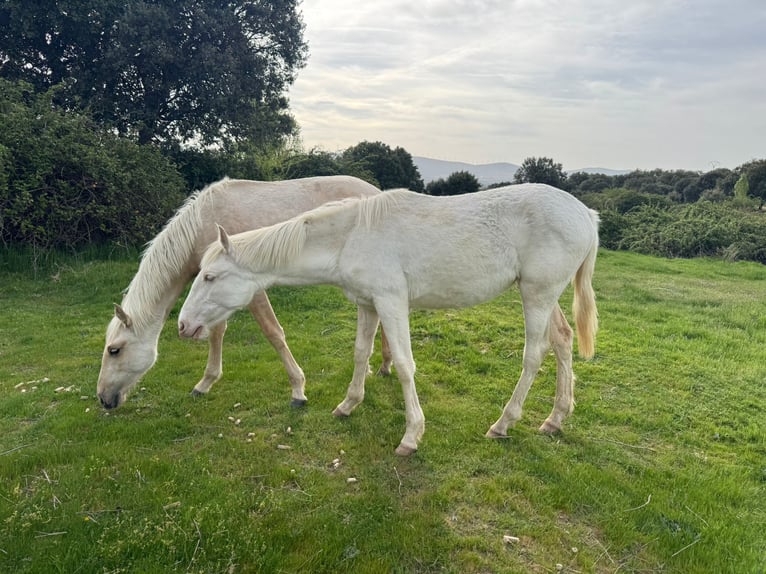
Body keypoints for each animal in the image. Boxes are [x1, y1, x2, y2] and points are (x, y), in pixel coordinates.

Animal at [97, 175, 392, 410]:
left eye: (114, 350)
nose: (102, 398)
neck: (203, 223)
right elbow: (217, 333)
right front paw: (205, 383)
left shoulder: (250, 289)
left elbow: (273, 334)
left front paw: (298, 390)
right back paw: (383, 365)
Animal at [177, 184, 599, 455]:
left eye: (210, 276)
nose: (183, 325)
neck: (351, 236)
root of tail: (587, 215)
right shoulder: (368, 305)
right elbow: (361, 353)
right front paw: (348, 404)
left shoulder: (392, 301)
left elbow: (404, 364)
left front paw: (411, 436)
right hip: (542, 293)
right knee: (562, 339)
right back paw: (555, 419)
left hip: (537, 295)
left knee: (535, 354)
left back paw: (503, 424)